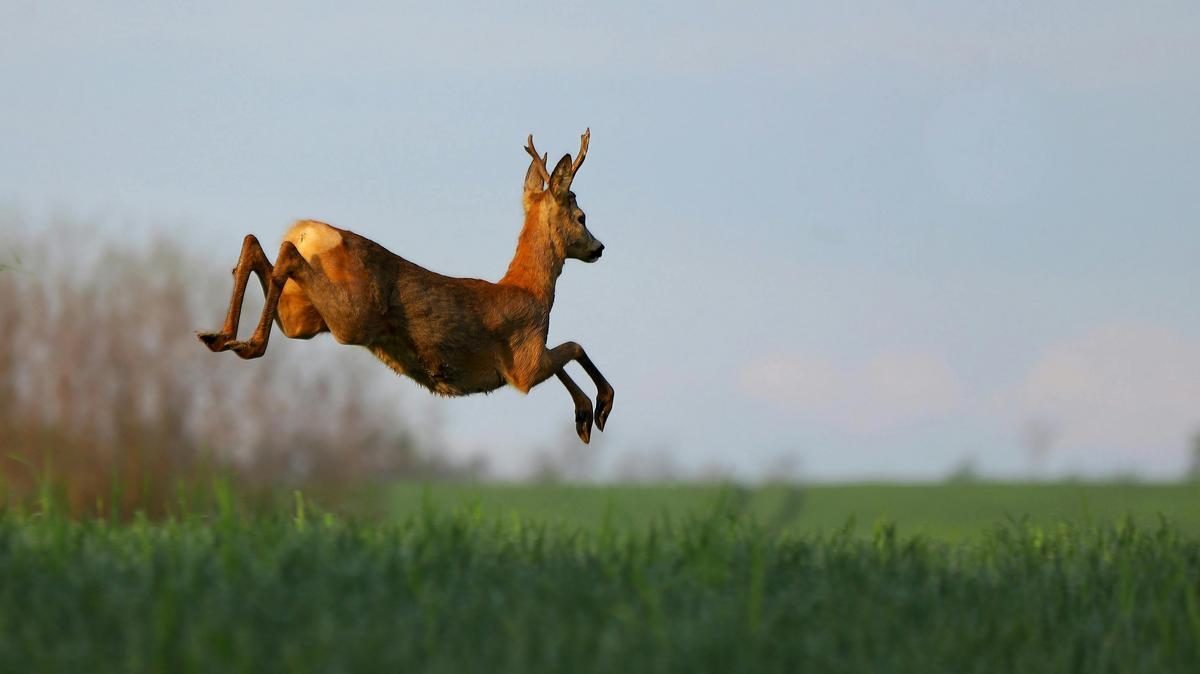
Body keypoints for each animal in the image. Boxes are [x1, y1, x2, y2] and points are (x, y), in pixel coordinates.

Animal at [198, 130, 614, 441]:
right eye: (582, 216)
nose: (599, 248)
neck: (530, 290)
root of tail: (308, 231)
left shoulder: (531, 358)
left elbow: (568, 353)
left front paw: (584, 415)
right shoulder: (524, 363)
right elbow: (574, 346)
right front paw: (598, 408)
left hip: (304, 317)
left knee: (256, 244)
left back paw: (221, 337)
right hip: (351, 316)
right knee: (283, 253)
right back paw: (247, 343)